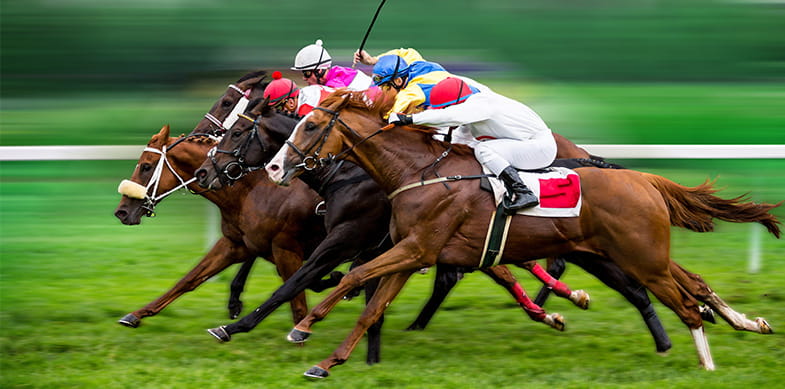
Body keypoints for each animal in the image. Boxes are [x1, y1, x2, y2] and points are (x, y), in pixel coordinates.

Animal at [194, 98, 672, 352]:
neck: (347, 173)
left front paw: (236, 325)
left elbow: (294, 282)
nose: (204, 171)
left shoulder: (344, 239)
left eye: (236, 132)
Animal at [266, 90, 780, 376]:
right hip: (647, 253)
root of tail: (644, 179)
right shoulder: (413, 253)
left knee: (686, 305)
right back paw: (749, 323)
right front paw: (327, 362)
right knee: (697, 286)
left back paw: (707, 363)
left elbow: (355, 278)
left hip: (641, 258)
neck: (420, 172)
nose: (273, 168)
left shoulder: (416, 247)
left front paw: (304, 326)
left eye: (311, 125)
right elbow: (372, 307)